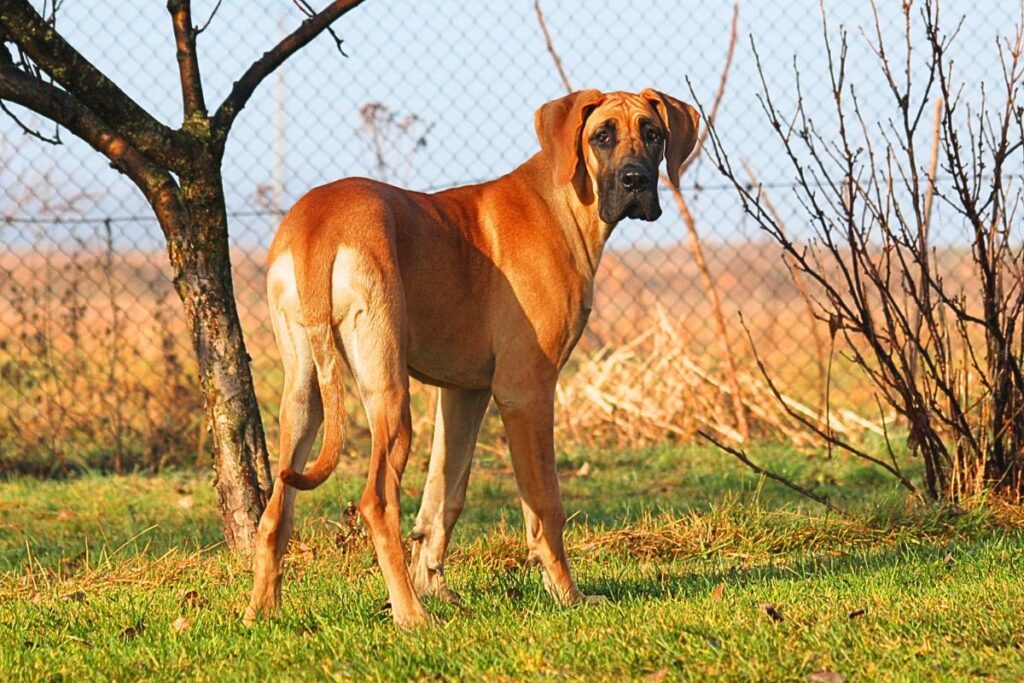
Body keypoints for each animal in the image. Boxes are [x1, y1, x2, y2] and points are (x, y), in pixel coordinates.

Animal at [243, 88, 700, 626]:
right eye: (602, 135)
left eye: (654, 134)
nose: (636, 180)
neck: (564, 199)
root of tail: (320, 222)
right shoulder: (526, 392)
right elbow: (546, 504)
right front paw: (566, 594)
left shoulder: (464, 392)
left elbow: (444, 498)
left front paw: (434, 585)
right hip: (388, 391)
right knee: (378, 501)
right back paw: (411, 617)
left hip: (304, 393)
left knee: (277, 509)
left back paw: (261, 612)